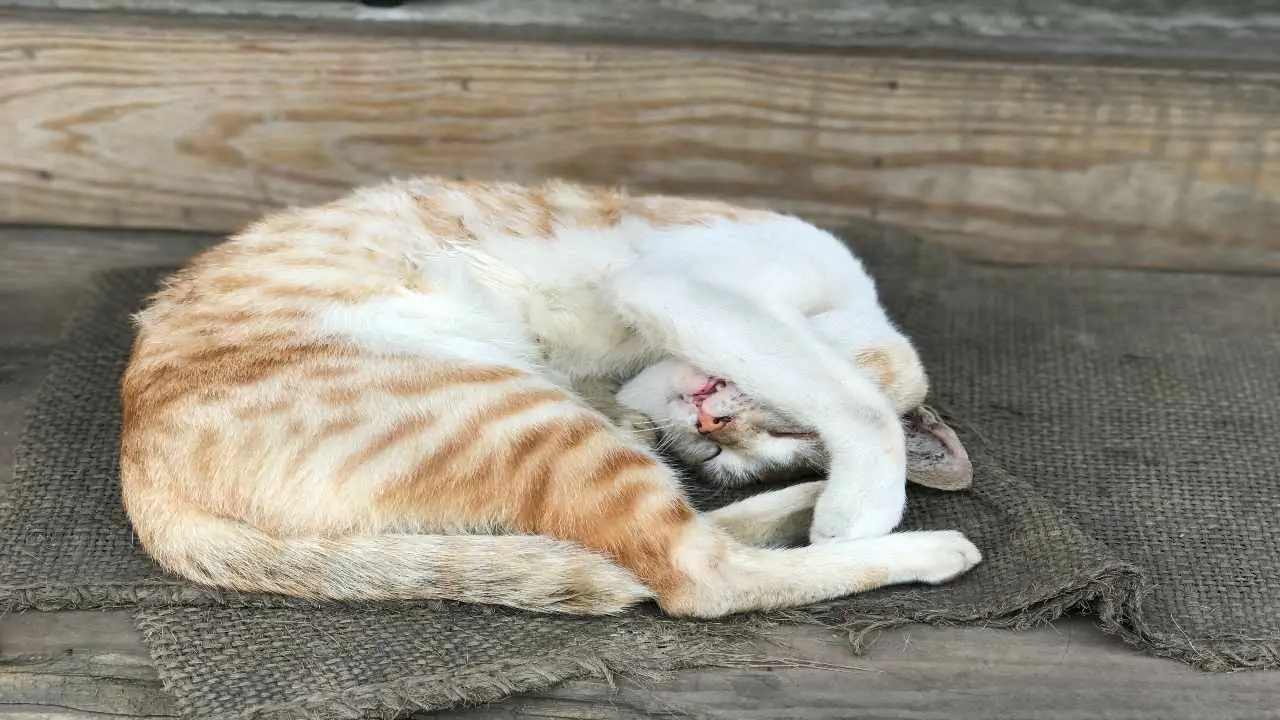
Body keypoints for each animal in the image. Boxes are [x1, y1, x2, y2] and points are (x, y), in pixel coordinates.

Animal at [120, 175, 977, 617]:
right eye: (785, 430)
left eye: (737, 455)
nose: (711, 426)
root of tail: (138, 468)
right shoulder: (690, 286)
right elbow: (858, 399)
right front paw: (862, 501)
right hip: (518, 414)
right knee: (693, 577)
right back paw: (921, 546)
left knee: (671, 546)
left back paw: (806, 509)